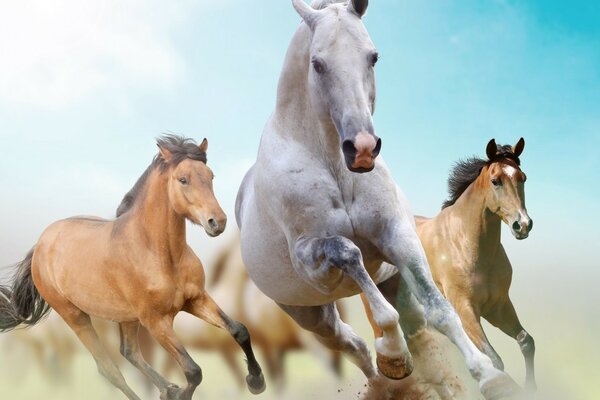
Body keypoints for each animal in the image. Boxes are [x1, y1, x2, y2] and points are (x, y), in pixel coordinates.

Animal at [0, 135, 264, 400]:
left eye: (211, 176)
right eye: (183, 179)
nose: (217, 222)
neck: (161, 255)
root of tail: (41, 244)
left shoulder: (196, 299)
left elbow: (239, 330)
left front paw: (256, 381)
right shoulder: (156, 321)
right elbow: (193, 371)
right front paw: (181, 394)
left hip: (125, 316)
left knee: (129, 352)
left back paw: (167, 388)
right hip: (75, 316)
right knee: (109, 369)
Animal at [364, 139, 536, 392]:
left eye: (522, 178)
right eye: (496, 181)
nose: (522, 225)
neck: (466, 244)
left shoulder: (498, 306)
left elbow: (526, 341)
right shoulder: (465, 309)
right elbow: (494, 359)